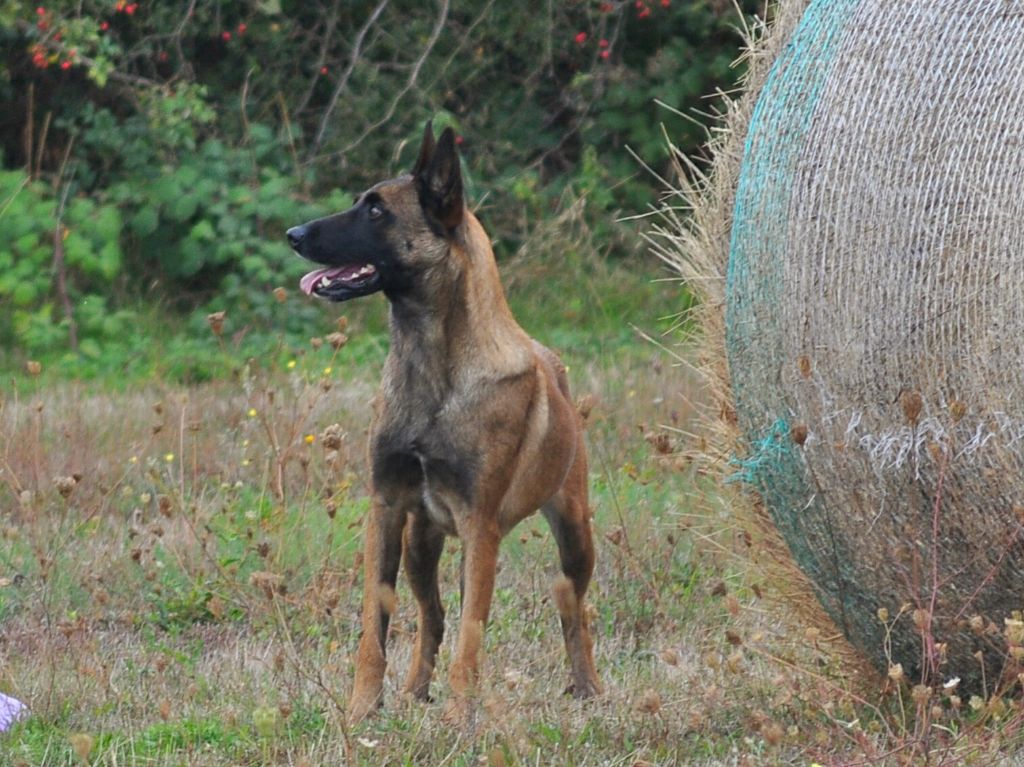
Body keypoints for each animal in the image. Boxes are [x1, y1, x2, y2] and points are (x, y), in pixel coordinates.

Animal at [284, 122, 598, 720]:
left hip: (573, 534)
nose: (293, 232)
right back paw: (414, 691)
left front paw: (460, 720)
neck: (433, 369)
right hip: (420, 543)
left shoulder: (480, 525)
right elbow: (375, 624)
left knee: (572, 605)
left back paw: (587, 686)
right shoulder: (387, 509)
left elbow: (473, 635)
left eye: (377, 211)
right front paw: (363, 709)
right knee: (433, 616)